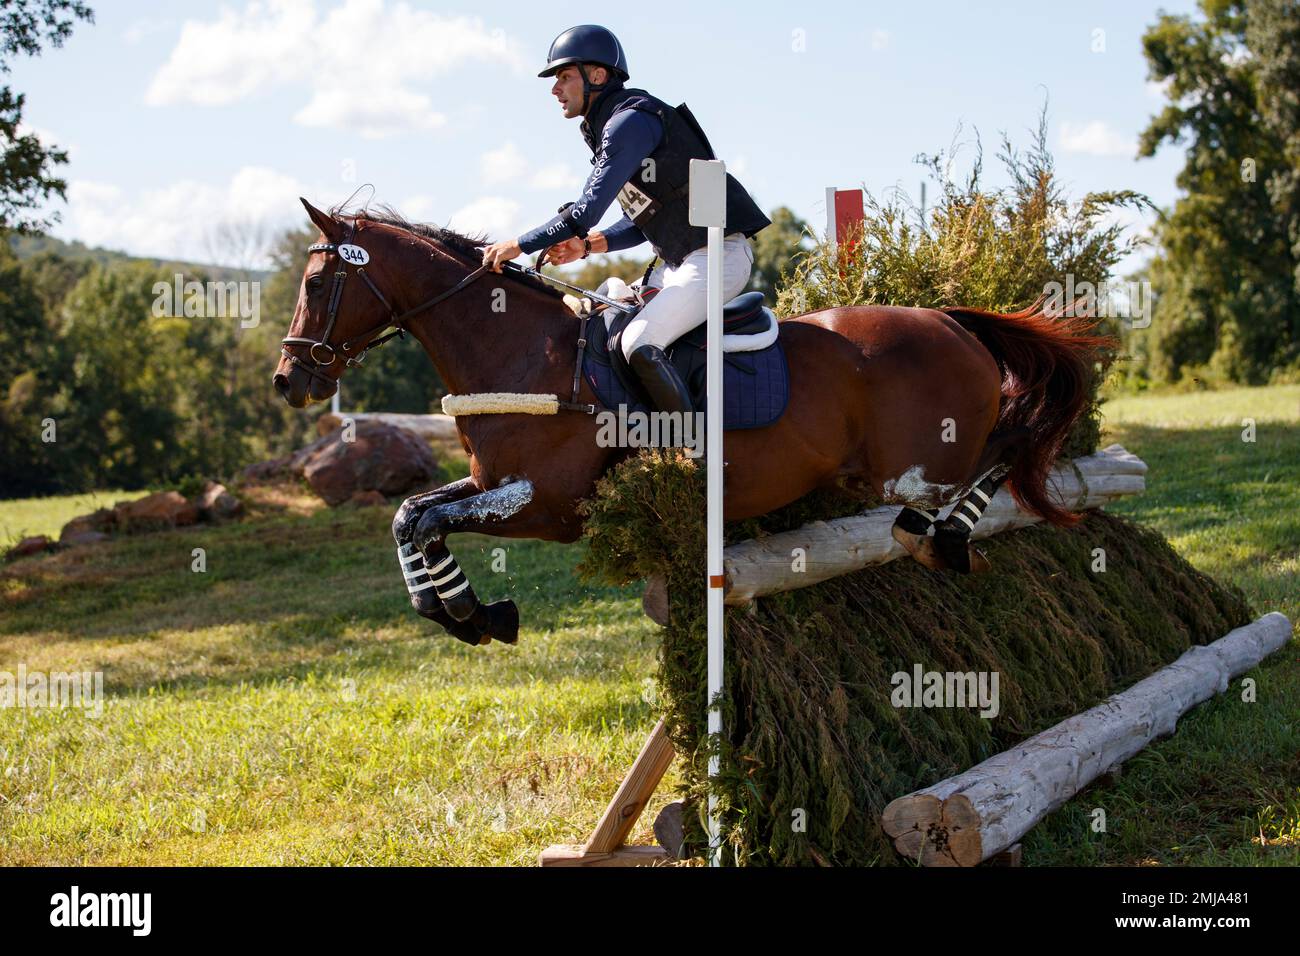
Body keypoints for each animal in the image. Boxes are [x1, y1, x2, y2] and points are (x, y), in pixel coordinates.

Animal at [271, 200, 1107, 650]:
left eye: (315, 281)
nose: (289, 380)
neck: (517, 348)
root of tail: (951, 320)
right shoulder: (488, 481)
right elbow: (412, 516)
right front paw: (468, 614)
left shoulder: (548, 504)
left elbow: (425, 520)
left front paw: (473, 613)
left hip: (919, 458)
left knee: (999, 455)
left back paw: (945, 541)